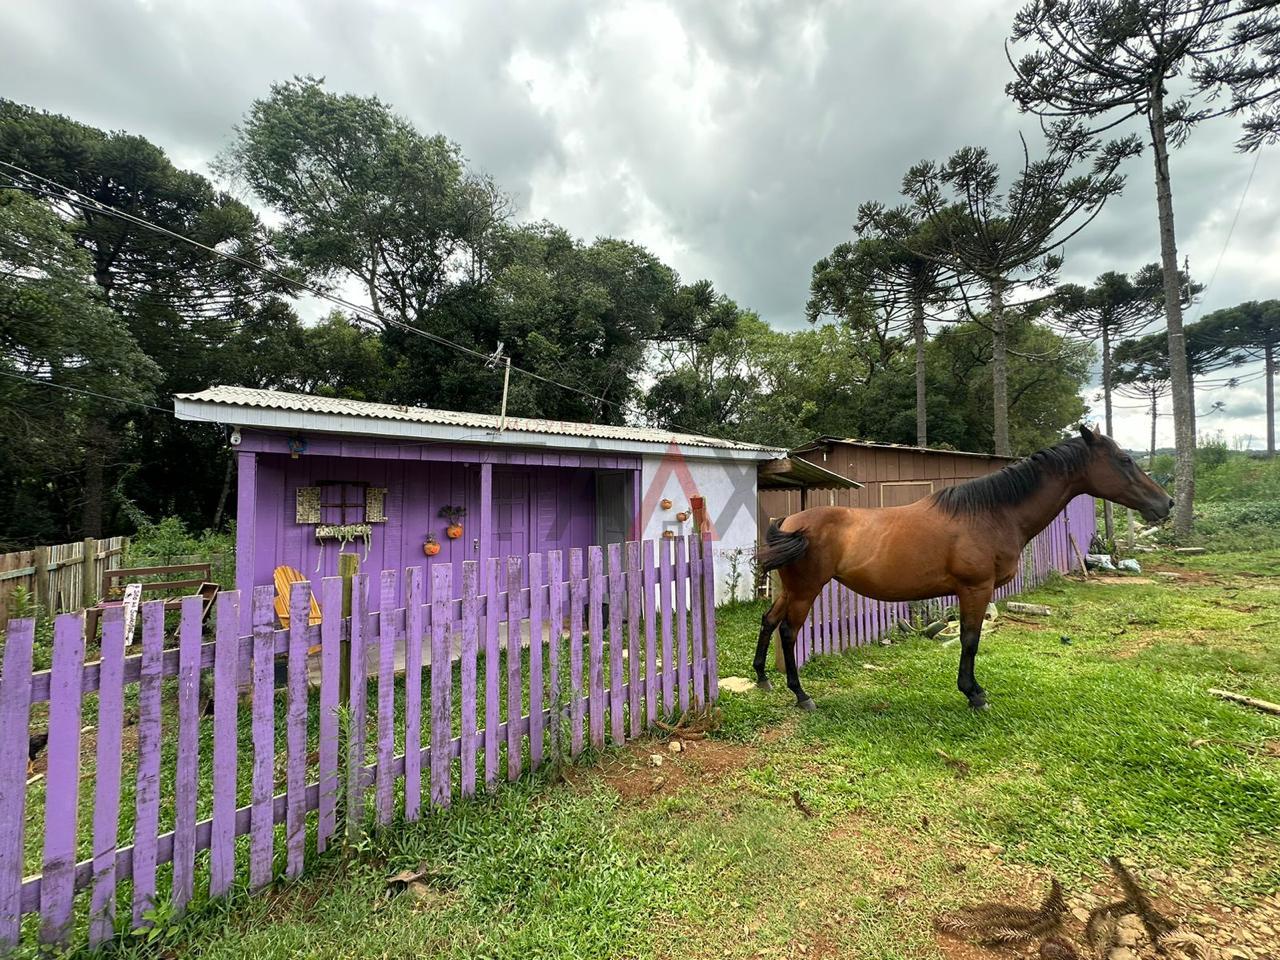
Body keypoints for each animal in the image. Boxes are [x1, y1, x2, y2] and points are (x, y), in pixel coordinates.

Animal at [752, 427, 1172, 716]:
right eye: (1124, 460)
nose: (1165, 503)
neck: (991, 513)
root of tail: (791, 521)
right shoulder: (975, 588)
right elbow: (971, 640)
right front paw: (974, 693)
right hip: (807, 590)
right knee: (788, 632)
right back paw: (801, 695)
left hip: (790, 589)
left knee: (769, 620)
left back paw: (763, 678)